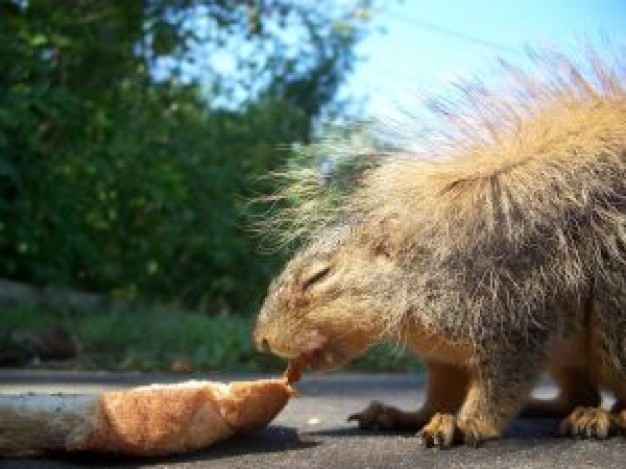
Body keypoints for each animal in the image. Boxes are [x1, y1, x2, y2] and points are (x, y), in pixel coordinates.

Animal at [251, 49, 620, 448]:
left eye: (318, 276)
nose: (262, 340)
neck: (417, 295)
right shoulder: (445, 357)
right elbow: (440, 395)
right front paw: (405, 416)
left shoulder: (517, 326)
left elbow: (497, 390)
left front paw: (468, 424)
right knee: (581, 392)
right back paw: (548, 407)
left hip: (612, 316)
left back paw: (605, 417)